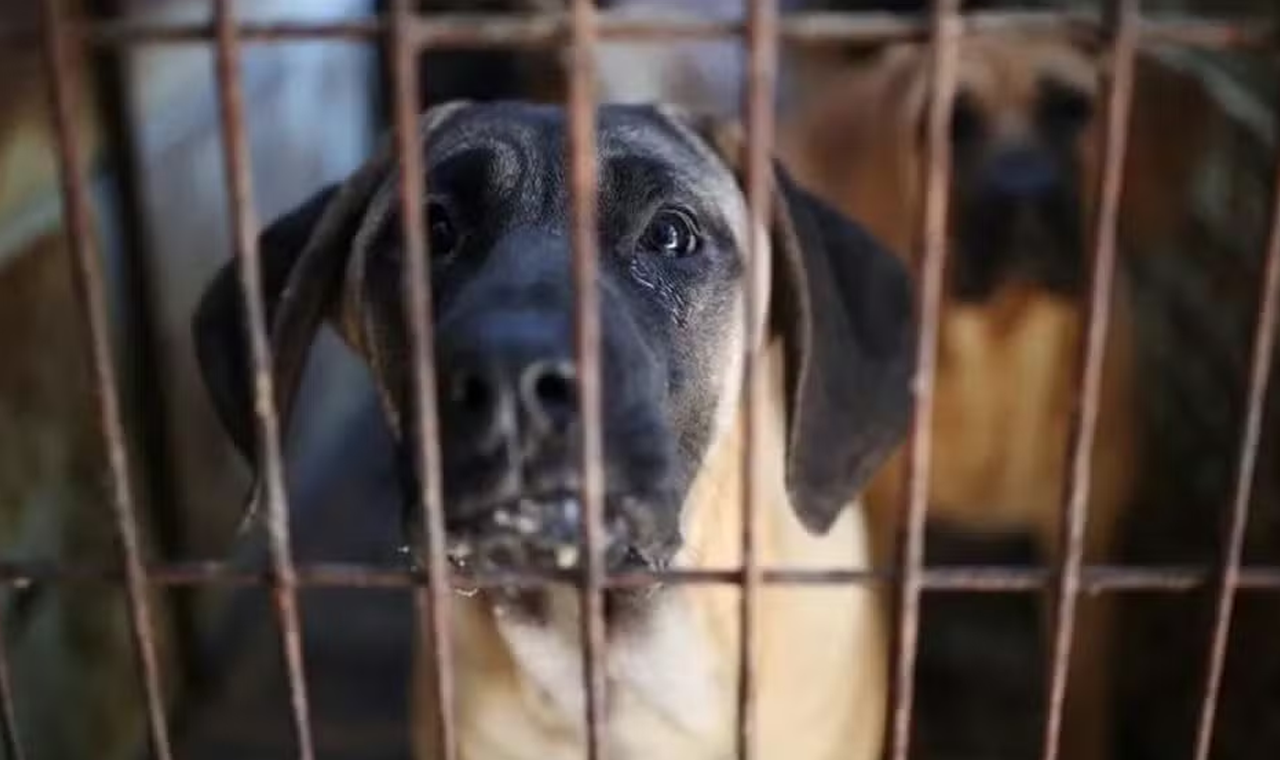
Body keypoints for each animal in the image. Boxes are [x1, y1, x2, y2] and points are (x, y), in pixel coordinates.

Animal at [778, 35, 1208, 757]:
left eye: (1072, 108)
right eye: (952, 124)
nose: (1023, 196)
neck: (1001, 356)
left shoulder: (1081, 548)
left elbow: (1079, 693)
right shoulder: (890, 538)